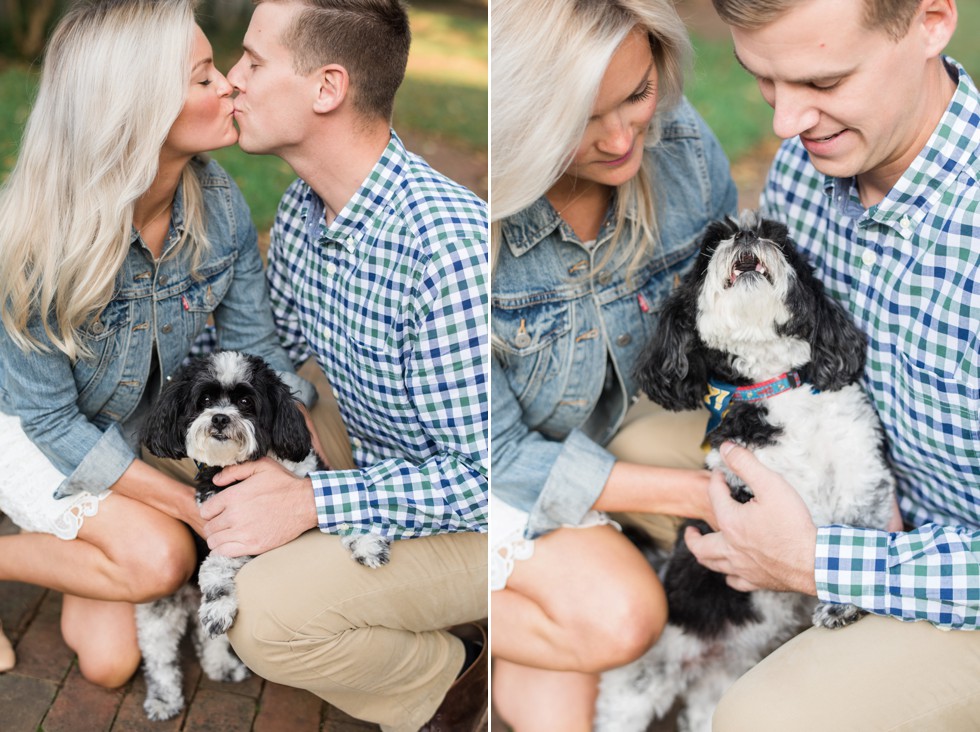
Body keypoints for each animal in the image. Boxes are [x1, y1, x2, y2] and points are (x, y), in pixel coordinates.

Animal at [139, 350, 390, 720]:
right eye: (205, 400)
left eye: (246, 401)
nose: (219, 419)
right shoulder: (225, 528)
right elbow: (216, 566)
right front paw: (219, 605)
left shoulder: (305, 491)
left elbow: (331, 503)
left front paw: (368, 542)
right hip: (162, 607)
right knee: (159, 655)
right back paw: (163, 698)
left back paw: (220, 667)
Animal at [596, 210, 896, 732]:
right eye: (710, 246)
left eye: (782, 242)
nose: (747, 234)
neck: (776, 386)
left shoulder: (859, 468)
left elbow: (849, 536)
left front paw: (842, 603)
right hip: (635, 689)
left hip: (715, 693)